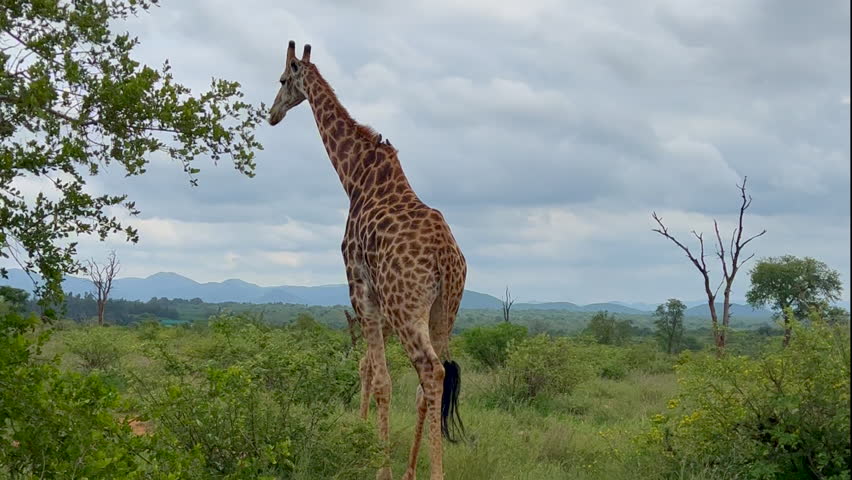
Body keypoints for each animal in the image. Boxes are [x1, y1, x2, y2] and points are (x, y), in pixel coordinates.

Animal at [269, 41, 467, 480]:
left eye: (283, 79)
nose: (271, 113)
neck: (355, 176)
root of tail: (446, 257)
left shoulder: (360, 288)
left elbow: (379, 380)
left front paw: (380, 468)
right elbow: (385, 379)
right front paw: (395, 467)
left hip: (406, 308)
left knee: (430, 372)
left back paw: (433, 472)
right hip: (444, 311)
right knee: (431, 382)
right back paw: (416, 469)